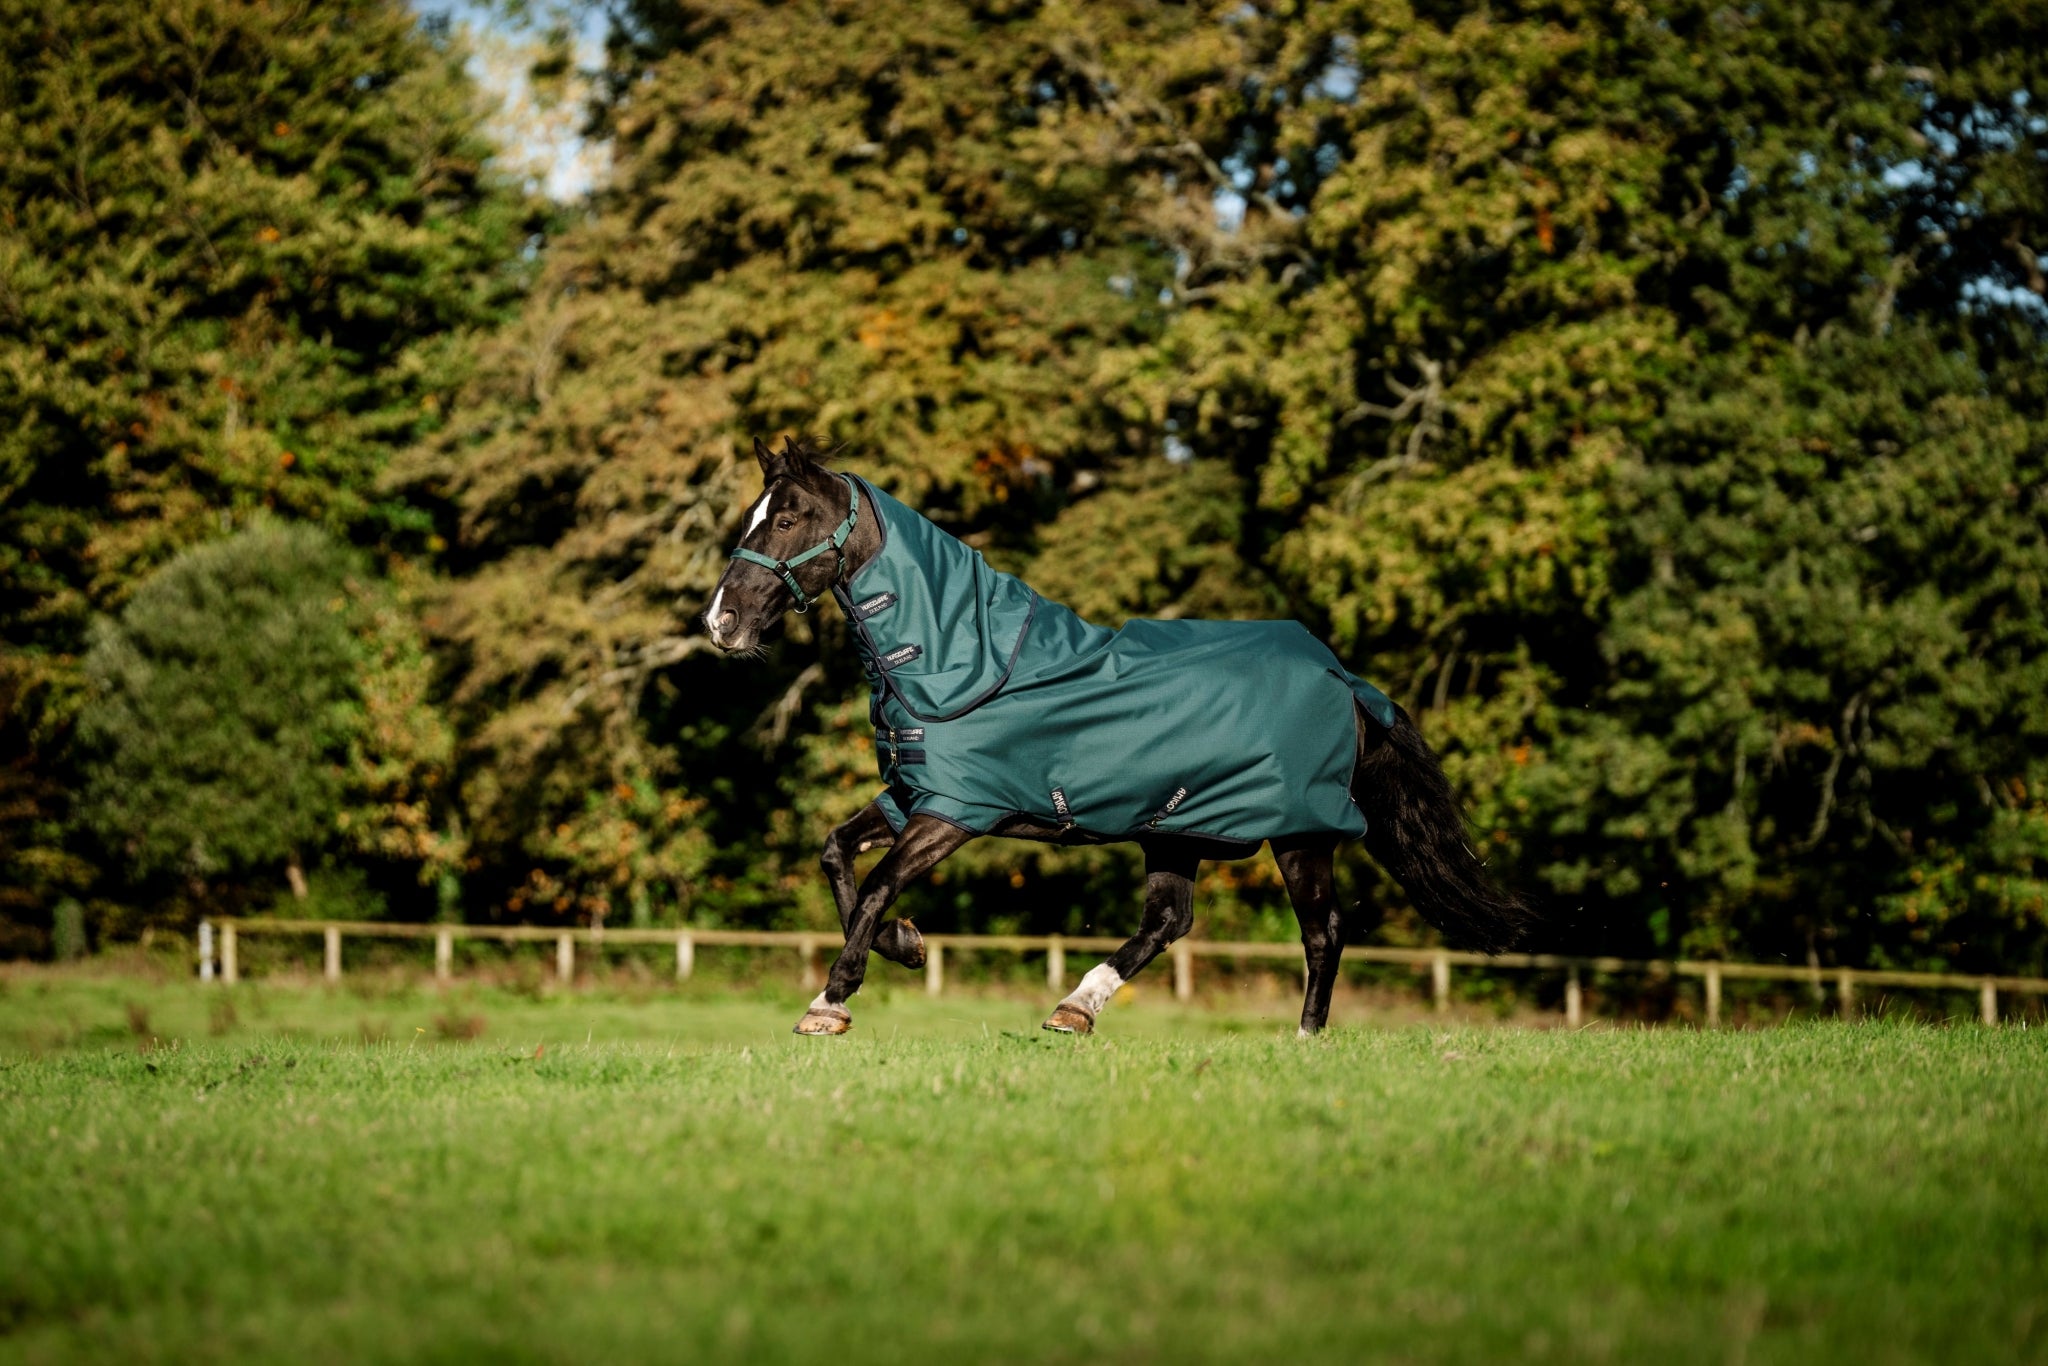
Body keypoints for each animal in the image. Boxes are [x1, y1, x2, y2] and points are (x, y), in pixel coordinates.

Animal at [704, 436, 1533, 1037]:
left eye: (785, 519)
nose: (721, 622)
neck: (960, 660)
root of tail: (1344, 680)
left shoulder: (956, 812)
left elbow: (876, 884)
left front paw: (831, 1001)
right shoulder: (913, 794)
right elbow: (836, 855)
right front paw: (906, 947)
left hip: (1300, 834)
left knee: (1322, 931)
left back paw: (1304, 1037)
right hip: (1179, 828)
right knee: (1170, 920)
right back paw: (1076, 1007)